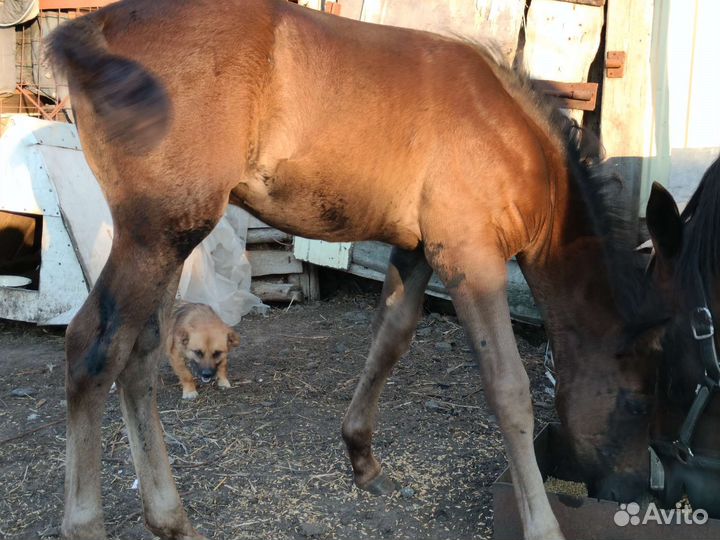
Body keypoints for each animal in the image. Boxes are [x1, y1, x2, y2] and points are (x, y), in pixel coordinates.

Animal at [47, 1, 669, 538]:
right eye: (637, 403)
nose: (632, 493)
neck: (515, 140)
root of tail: (94, 26)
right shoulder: (470, 256)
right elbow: (508, 387)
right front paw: (543, 525)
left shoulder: (417, 250)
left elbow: (389, 341)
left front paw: (361, 457)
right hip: (157, 235)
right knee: (92, 347)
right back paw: (88, 524)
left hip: (167, 242)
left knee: (139, 358)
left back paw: (171, 521)